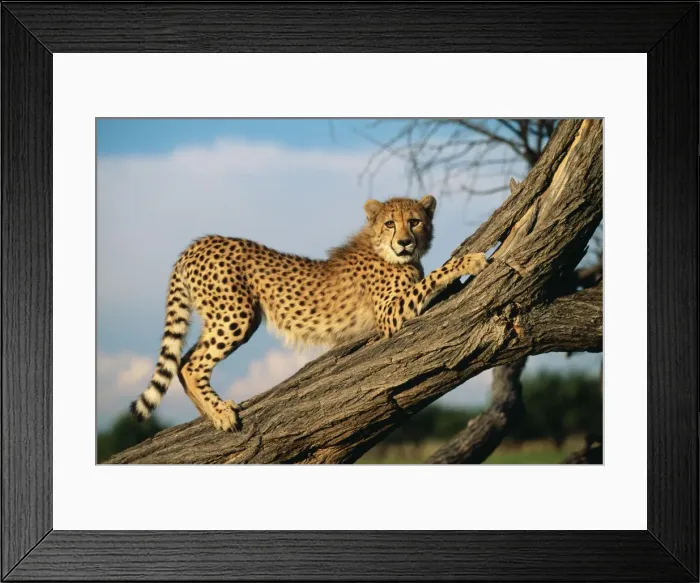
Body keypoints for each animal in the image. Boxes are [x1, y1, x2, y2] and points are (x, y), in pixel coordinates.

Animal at [130, 195, 489, 432]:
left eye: (414, 221)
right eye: (390, 223)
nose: (404, 242)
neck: (383, 250)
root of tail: (198, 243)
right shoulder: (390, 314)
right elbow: (435, 275)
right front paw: (470, 260)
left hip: (232, 316)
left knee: (184, 361)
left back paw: (208, 412)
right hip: (236, 315)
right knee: (192, 365)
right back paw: (220, 413)